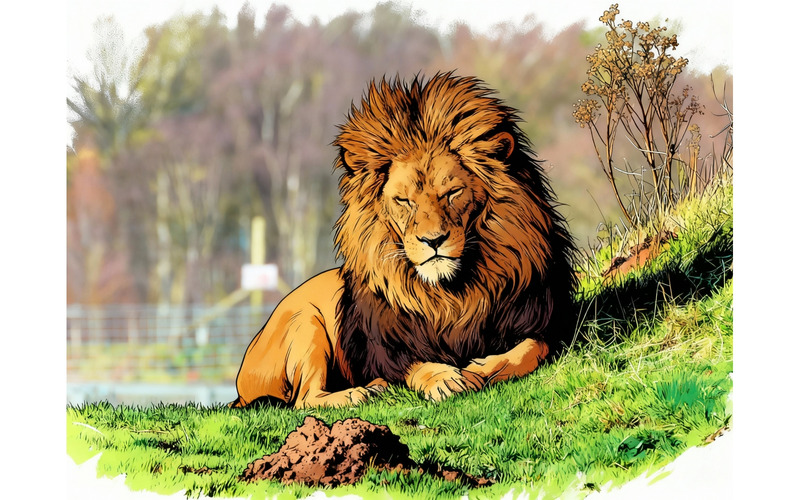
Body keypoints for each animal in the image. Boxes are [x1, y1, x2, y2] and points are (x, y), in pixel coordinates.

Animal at [231, 73, 577, 409]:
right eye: (404, 201)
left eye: (452, 192)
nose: (433, 240)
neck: (452, 294)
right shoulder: (384, 347)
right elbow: (415, 364)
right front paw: (444, 379)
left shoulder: (545, 318)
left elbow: (530, 349)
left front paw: (481, 369)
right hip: (305, 322)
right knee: (304, 399)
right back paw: (361, 393)